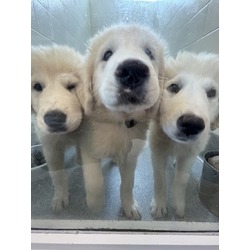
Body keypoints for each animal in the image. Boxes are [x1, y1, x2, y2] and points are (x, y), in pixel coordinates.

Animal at [31, 45, 86, 213]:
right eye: (37, 86)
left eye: (71, 86)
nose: (54, 119)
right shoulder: (50, 147)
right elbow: (57, 176)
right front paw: (60, 198)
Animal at [148, 50, 219, 217]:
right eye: (174, 87)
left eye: (212, 92)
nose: (191, 124)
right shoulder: (158, 151)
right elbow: (159, 179)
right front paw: (159, 206)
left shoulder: (190, 154)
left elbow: (181, 180)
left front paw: (179, 206)